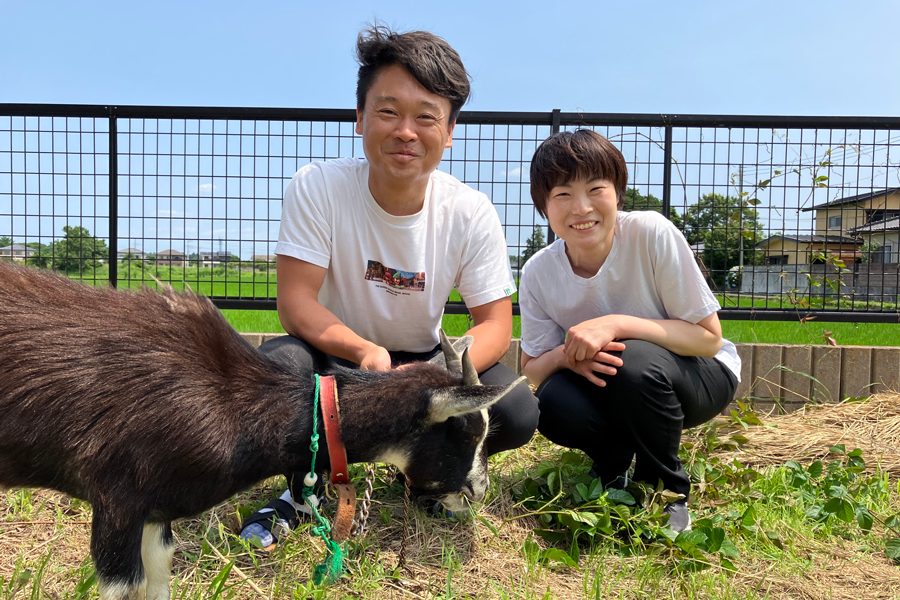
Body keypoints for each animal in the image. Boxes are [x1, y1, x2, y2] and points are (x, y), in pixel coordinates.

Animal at [0, 264, 520, 600]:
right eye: (464, 431)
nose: (478, 490)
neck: (234, 402)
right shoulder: (118, 502)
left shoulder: (155, 509)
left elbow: (159, 580)